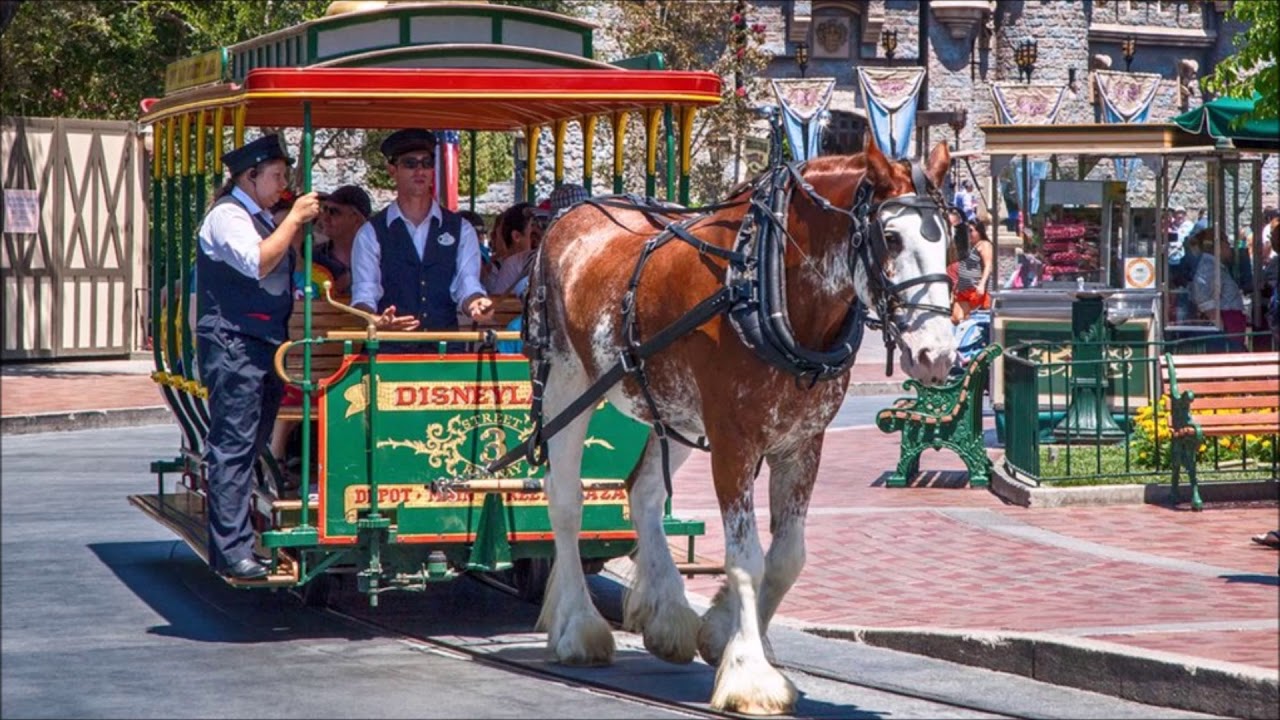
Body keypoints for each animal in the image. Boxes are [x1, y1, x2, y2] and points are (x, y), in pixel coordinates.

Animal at [525, 140, 957, 715]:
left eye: (950, 236)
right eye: (890, 237)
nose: (937, 354)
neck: (768, 284)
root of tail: (571, 214)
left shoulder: (801, 443)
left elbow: (787, 557)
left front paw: (723, 634)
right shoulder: (734, 440)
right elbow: (747, 557)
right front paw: (750, 675)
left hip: (675, 410)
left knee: (642, 491)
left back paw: (668, 617)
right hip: (568, 384)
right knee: (566, 499)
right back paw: (579, 628)